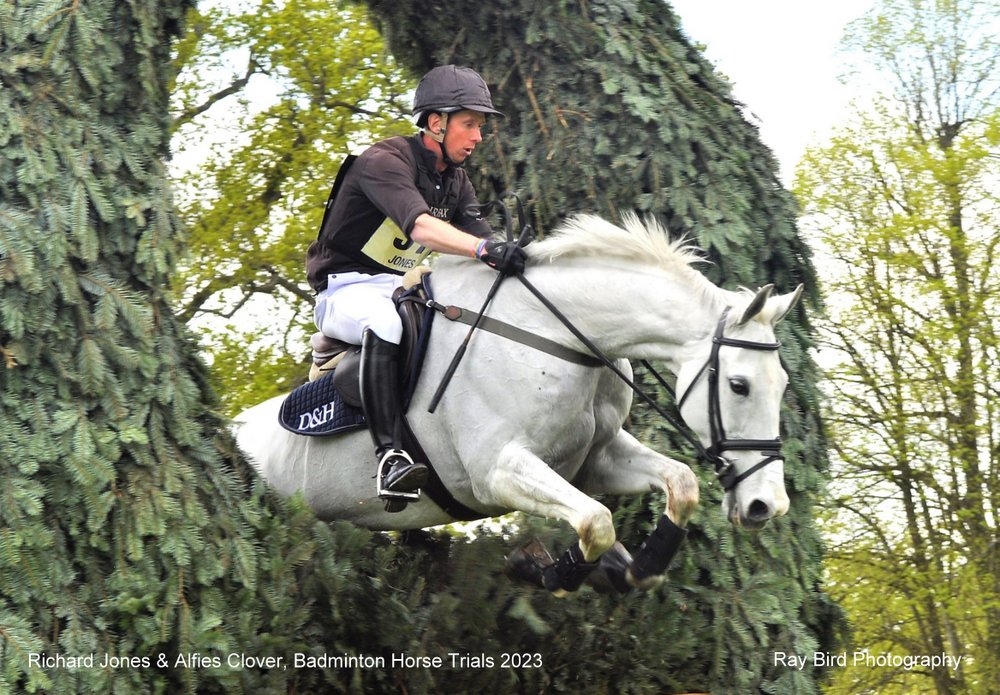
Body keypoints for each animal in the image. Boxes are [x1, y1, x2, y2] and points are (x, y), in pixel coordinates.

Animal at [234, 213, 804, 594]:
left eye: (781, 383)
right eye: (739, 386)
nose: (767, 507)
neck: (558, 335)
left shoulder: (594, 458)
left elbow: (680, 485)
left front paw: (637, 567)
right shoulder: (497, 471)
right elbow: (595, 522)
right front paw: (544, 569)